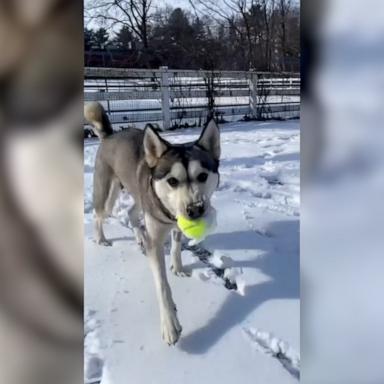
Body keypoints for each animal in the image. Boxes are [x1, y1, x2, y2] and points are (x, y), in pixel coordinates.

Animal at [85, 102, 220, 344]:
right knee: (99, 214)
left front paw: (178, 267)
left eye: (203, 176)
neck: (169, 214)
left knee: (131, 213)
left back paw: (139, 238)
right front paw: (170, 324)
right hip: (109, 195)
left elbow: (176, 247)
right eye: (172, 181)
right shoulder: (156, 239)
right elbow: (162, 285)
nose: (195, 209)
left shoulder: (175, 226)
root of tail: (110, 135)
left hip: (140, 197)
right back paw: (101, 238)